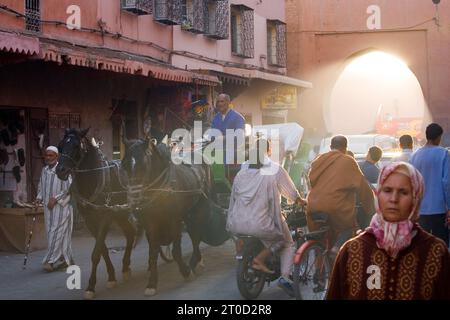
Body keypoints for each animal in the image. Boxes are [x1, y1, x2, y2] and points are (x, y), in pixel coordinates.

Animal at [55, 128, 135, 300]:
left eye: (76, 146)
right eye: (60, 146)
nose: (60, 171)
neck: (91, 180)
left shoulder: (105, 216)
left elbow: (96, 253)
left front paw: (91, 286)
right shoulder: (90, 220)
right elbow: (102, 250)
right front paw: (111, 277)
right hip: (121, 213)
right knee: (130, 234)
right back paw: (125, 267)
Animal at [122, 136, 222, 296]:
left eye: (143, 165)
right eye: (124, 166)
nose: (134, 199)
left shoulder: (174, 219)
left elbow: (176, 251)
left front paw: (186, 272)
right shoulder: (151, 223)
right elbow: (153, 253)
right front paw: (151, 284)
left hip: (203, 203)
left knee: (197, 233)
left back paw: (194, 261)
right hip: (189, 211)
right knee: (194, 232)